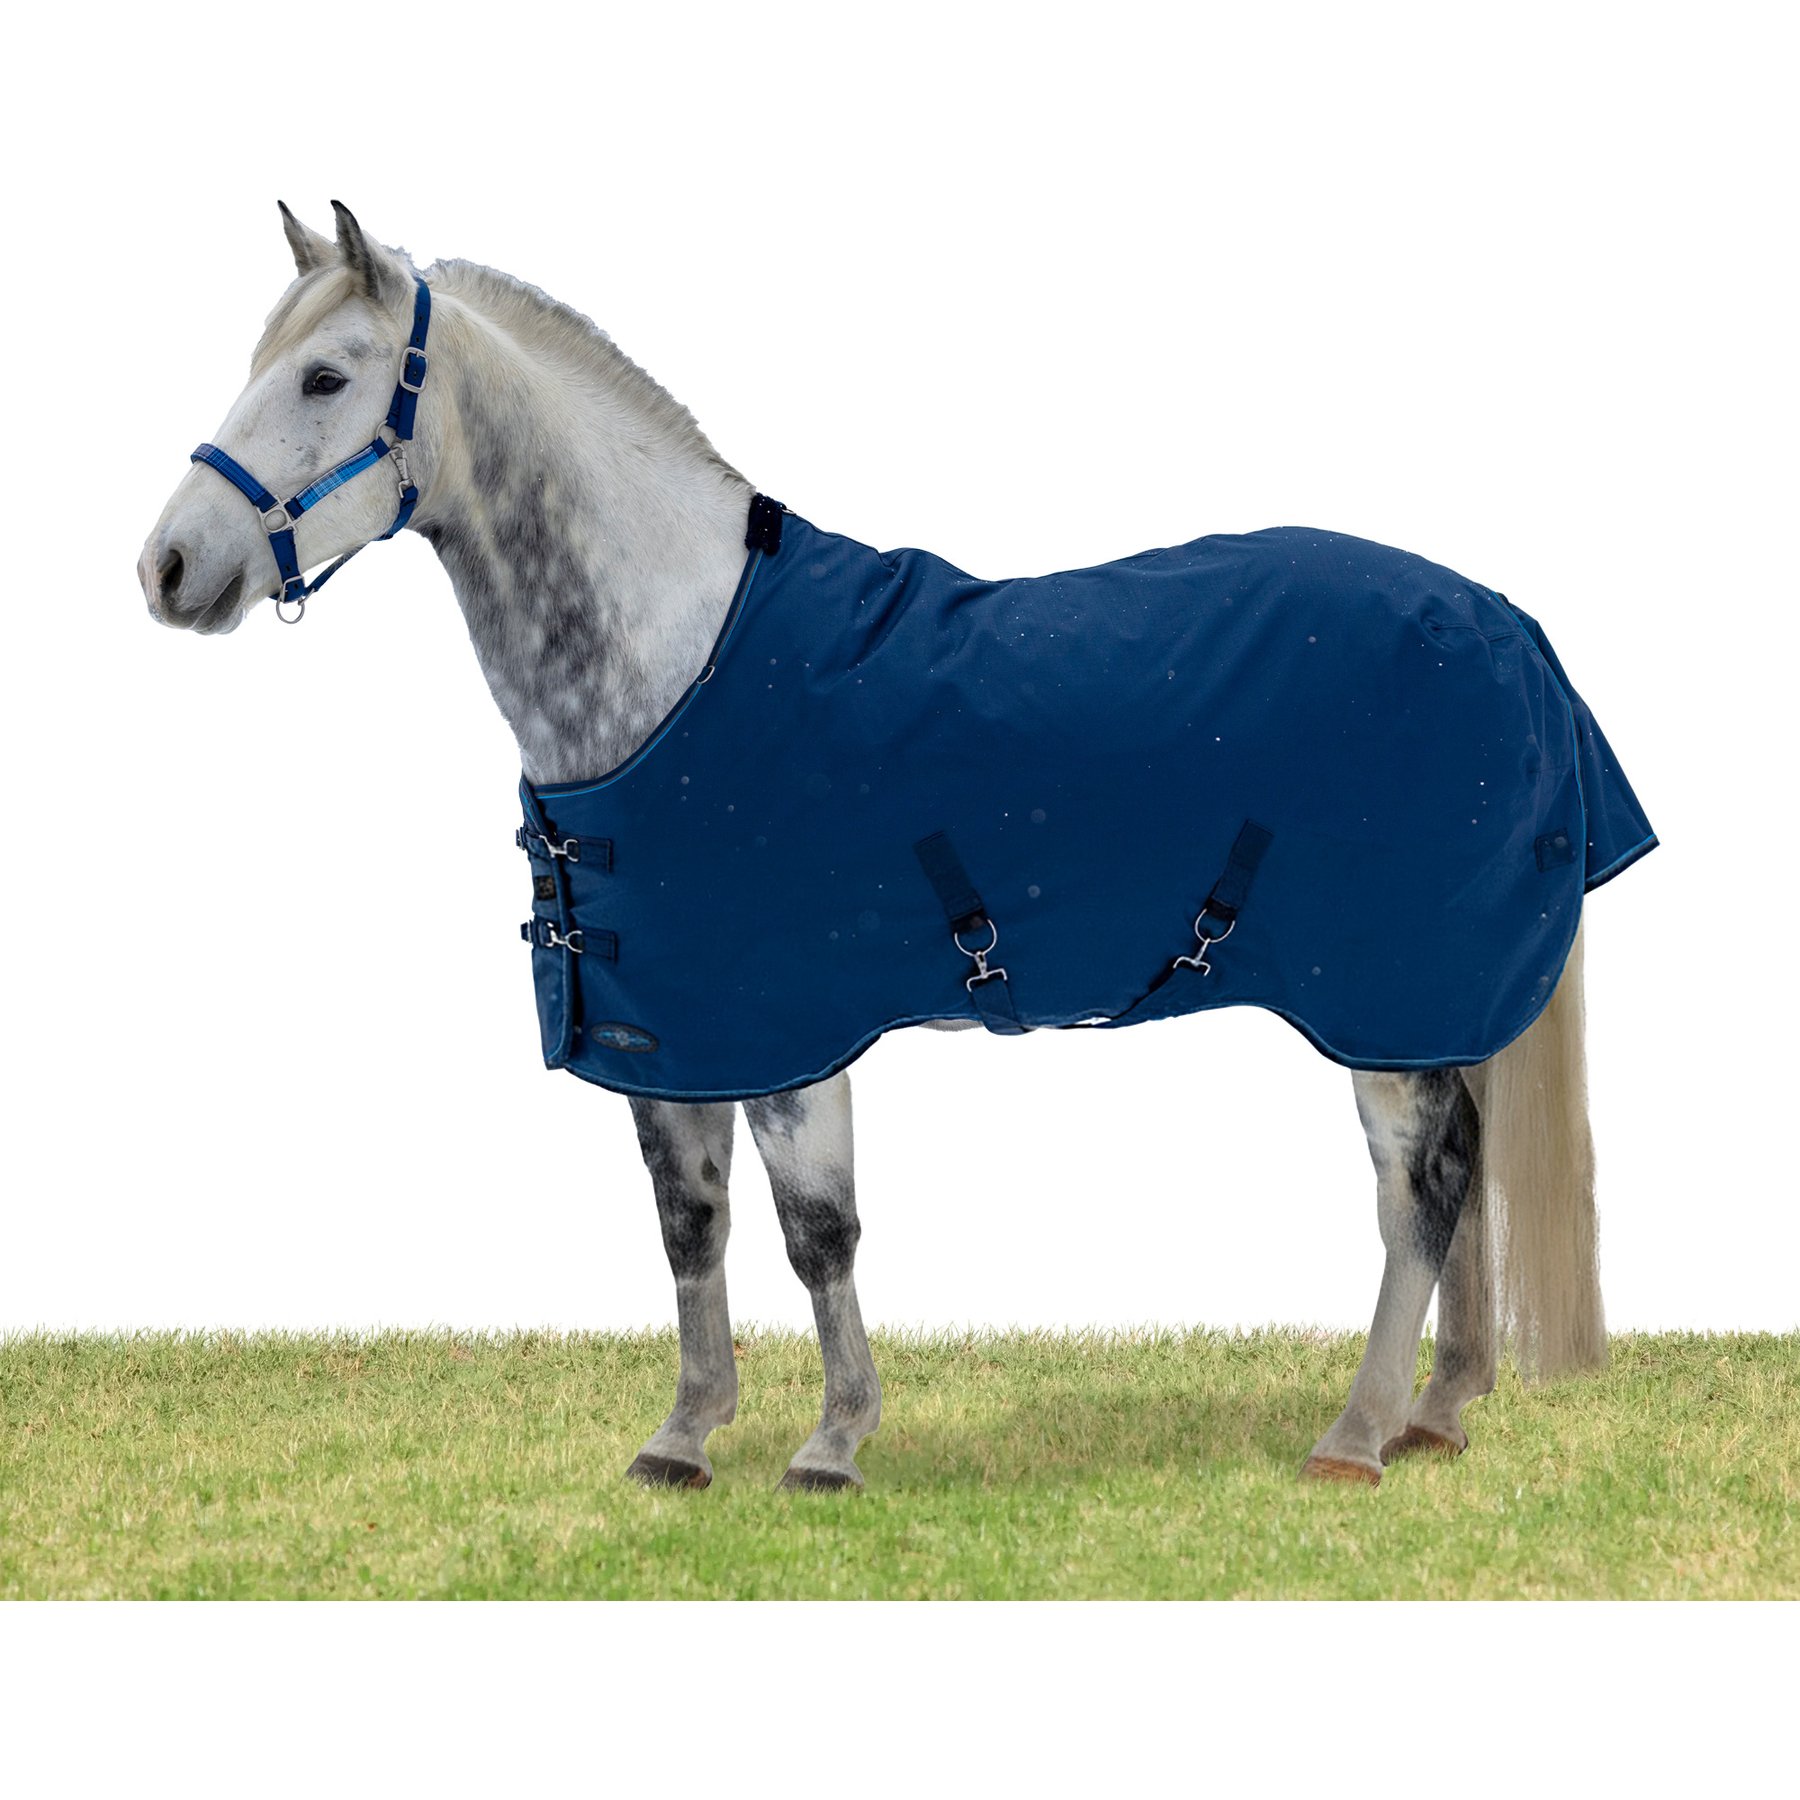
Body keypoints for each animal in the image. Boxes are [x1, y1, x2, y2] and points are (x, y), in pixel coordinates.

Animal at [138, 202, 1647, 1491]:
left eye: (326, 378)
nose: (167, 567)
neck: (676, 666)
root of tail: (1504, 621)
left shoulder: (791, 1029)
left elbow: (820, 1235)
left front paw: (831, 1444)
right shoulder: (674, 1033)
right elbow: (690, 1227)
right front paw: (686, 1436)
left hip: (1381, 1000)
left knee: (1418, 1195)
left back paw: (1358, 1431)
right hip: (1431, 1003)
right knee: (1464, 1179)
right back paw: (1440, 1411)